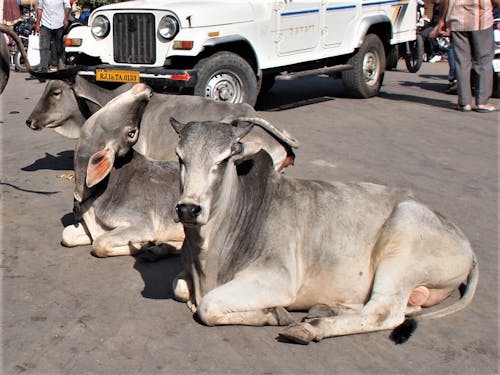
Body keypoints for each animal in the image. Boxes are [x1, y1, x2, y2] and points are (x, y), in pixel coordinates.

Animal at [170, 119, 478, 346]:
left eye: (223, 160)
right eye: (180, 157)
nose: (188, 209)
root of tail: (466, 243)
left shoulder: (277, 278)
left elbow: (208, 306)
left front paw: (274, 314)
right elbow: (180, 289)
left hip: (404, 238)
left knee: (384, 313)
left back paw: (311, 328)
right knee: (402, 309)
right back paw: (326, 309)